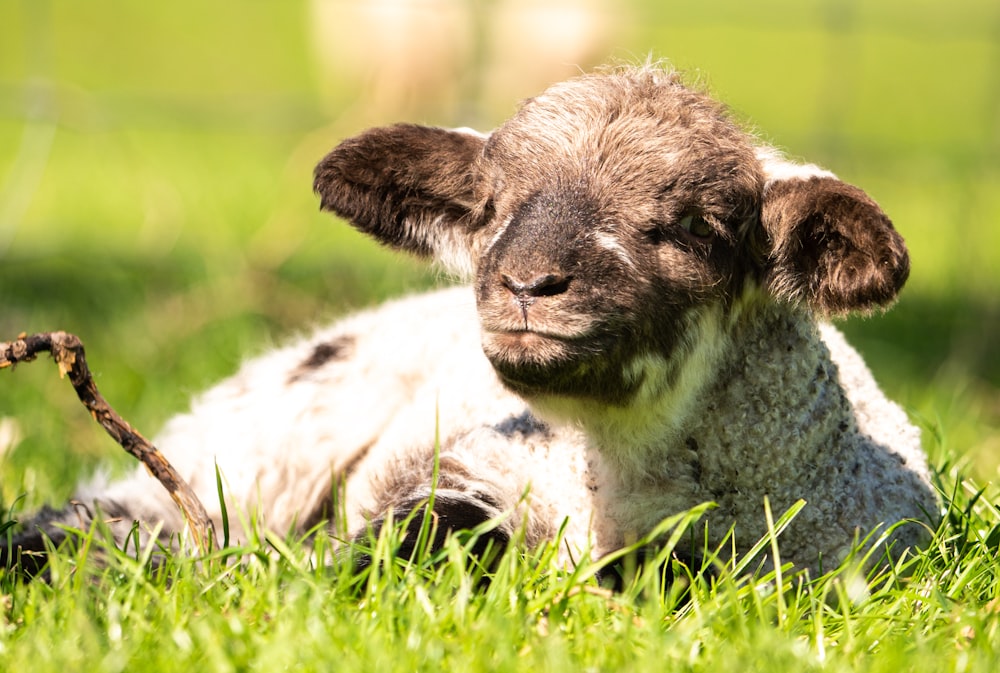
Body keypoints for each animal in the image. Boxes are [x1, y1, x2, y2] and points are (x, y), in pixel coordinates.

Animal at [1, 64, 936, 576]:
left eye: (697, 227)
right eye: (493, 208)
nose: (527, 283)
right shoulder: (462, 466)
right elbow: (421, 535)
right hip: (277, 421)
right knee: (146, 502)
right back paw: (46, 550)